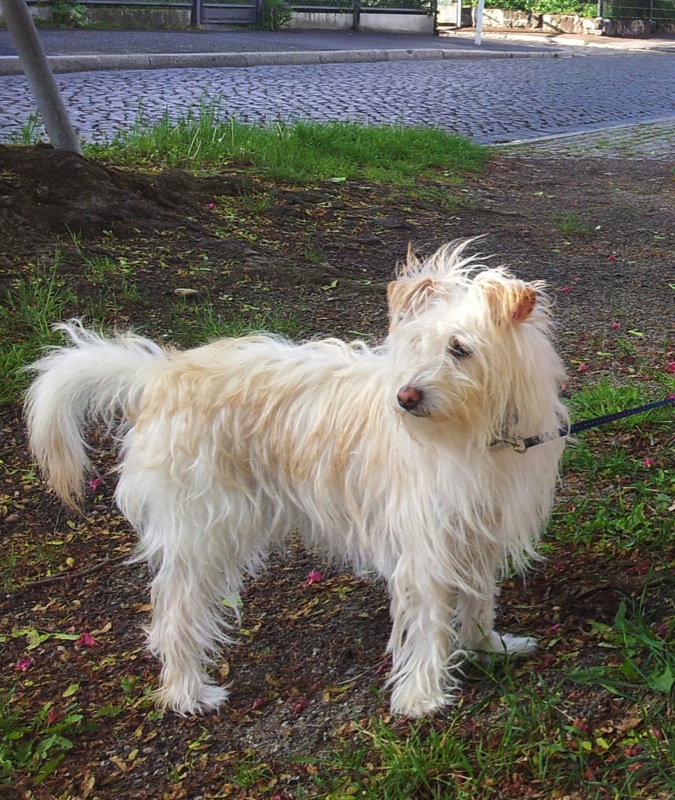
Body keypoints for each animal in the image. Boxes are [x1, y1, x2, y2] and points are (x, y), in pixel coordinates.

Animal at [25, 240, 567, 718]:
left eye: (459, 349)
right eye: (414, 346)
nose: (406, 397)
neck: (478, 435)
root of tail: (161, 374)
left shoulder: (477, 532)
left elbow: (478, 599)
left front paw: (485, 645)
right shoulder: (426, 546)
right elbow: (429, 622)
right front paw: (422, 697)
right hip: (204, 532)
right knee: (175, 612)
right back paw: (187, 693)